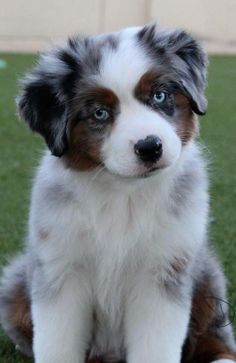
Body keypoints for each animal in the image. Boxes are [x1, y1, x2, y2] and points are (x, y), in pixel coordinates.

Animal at [0, 23, 236, 363]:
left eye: (160, 95)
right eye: (100, 113)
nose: (150, 147)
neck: (123, 192)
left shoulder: (164, 271)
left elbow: (156, 346)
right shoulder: (60, 271)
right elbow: (58, 343)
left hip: (205, 276)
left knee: (215, 332)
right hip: (15, 284)